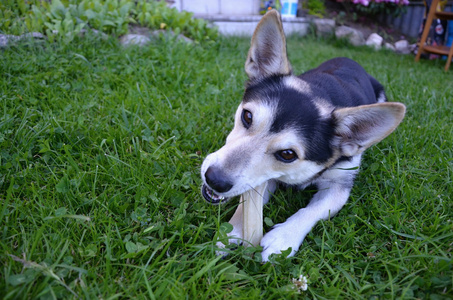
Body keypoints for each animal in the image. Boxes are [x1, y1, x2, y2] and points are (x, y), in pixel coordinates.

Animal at [200, 10, 404, 262]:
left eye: (288, 154)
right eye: (247, 116)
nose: (214, 179)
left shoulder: (340, 184)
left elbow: (313, 210)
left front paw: (283, 238)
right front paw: (234, 230)